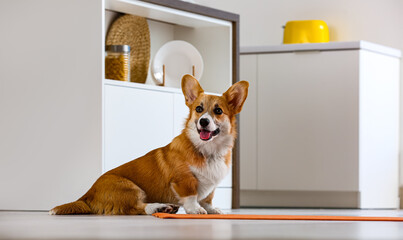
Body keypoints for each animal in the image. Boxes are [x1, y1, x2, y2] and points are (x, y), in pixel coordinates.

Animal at [50, 75, 249, 216]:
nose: (203, 122)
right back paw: (157, 208)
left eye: (218, 111)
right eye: (199, 109)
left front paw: (212, 209)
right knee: (136, 208)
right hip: (131, 188)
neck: (207, 151)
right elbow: (192, 196)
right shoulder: (183, 180)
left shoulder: (211, 187)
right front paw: (195, 210)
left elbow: (208, 199)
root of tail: (87, 193)